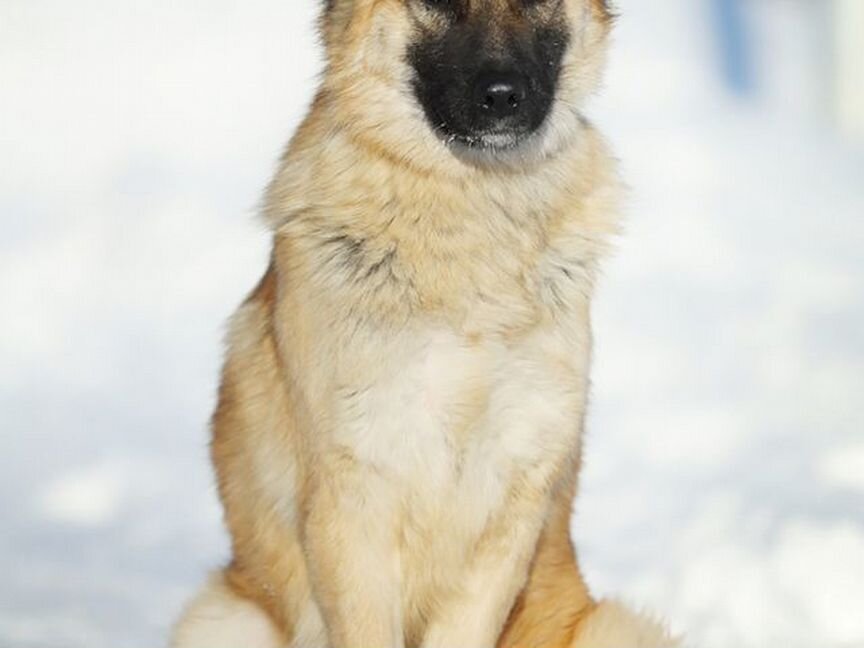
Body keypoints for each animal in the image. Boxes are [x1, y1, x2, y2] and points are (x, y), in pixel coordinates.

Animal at [170, 1, 680, 648]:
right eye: (436, 4)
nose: (502, 96)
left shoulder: (515, 489)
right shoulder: (355, 493)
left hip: (612, 626)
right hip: (224, 617)